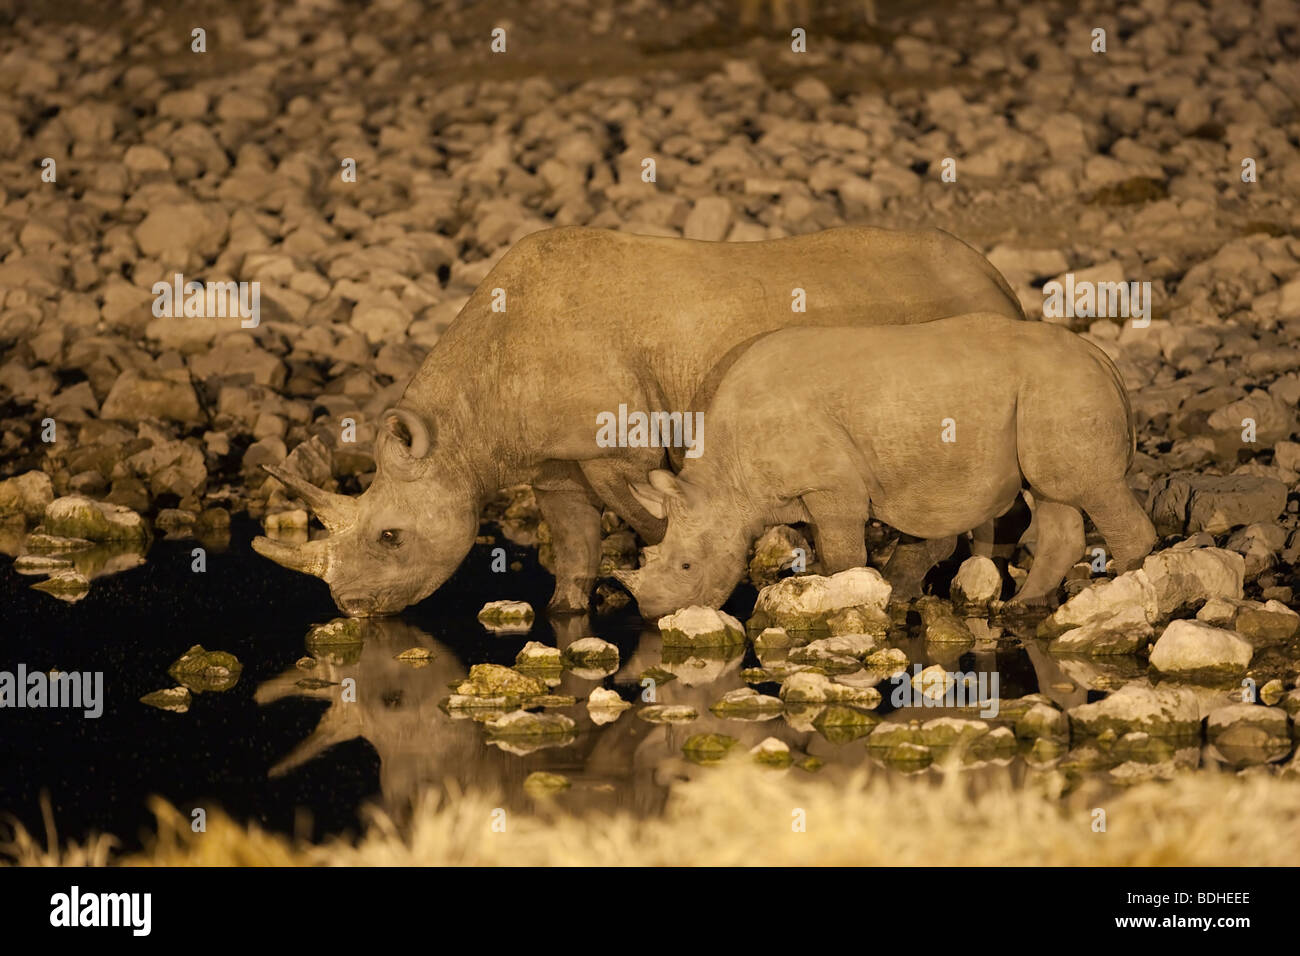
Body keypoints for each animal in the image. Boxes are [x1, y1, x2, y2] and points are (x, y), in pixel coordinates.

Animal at [253, 225, 1024, 616]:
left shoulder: (618, 446)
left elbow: (651, 519)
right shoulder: (554, 458)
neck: (466, 424)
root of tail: (1002, 280)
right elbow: (573, 539)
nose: (350, 605)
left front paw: (674, 588)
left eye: (389, 536)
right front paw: (570, 608)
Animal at [611, 312, 1159, 613]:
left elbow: (841, 552)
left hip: (1064, 388)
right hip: (1049, 390)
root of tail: (1103, 359)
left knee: (1088, 488)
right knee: (1054, 493)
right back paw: (1022, 607)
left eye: (686, 565)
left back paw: (1127, 595)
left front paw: (851, 596)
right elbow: (826, 547)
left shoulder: (832, 486)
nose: (653, 611)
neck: (726, 483)